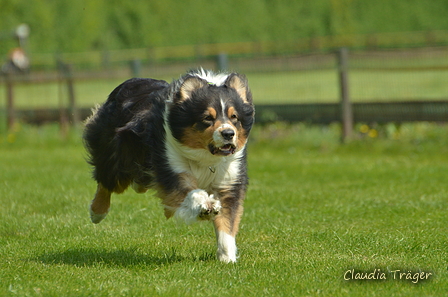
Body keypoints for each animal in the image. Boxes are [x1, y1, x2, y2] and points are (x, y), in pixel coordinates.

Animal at [82, 69, 254, 262]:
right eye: (207, 118)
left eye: (234, 117)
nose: (228, 133)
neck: (206, 157)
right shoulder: (169, 162)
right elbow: (188, 190)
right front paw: (206, 205)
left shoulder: (230, 178)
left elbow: (227, 221)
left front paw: (227, 258)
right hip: (116, 153)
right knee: (107, 180)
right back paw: (97, 212)